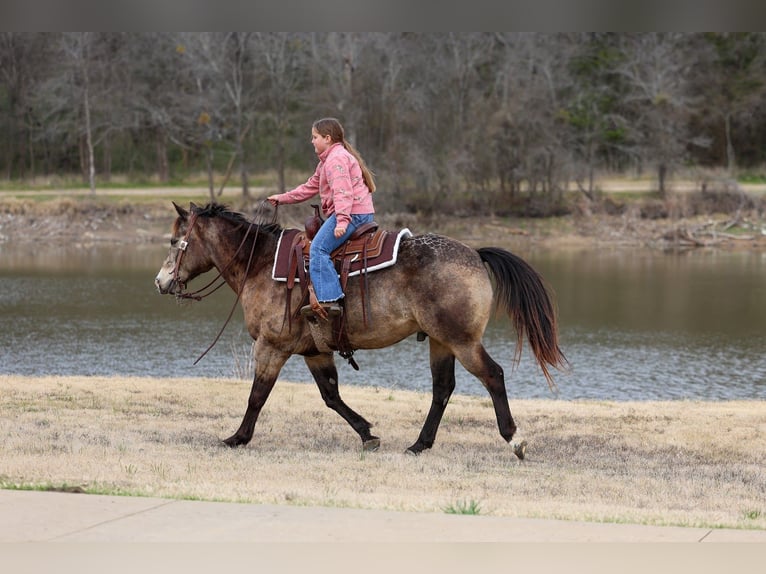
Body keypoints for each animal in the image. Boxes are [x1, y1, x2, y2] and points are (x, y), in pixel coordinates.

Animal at [154, 202, 567, 458]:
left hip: (463, 341)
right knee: (442, 389)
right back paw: (419, 445)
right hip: (440, 341)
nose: (161, 282)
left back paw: (514, 440)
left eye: (175, 241)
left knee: (493, 376)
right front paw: (368, 433)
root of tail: (474, 254)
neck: (262, 264)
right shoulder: (315, 351)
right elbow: (331, 396)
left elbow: (257, 395)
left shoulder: (272, 346)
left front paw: (238, 437)